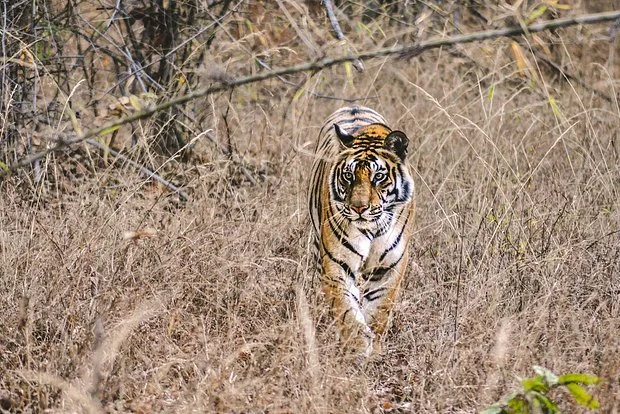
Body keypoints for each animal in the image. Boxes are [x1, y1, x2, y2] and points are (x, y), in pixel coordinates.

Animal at [308, 105, 416, 358]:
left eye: (379, 177)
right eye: (349, 176)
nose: (359, 208)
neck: (373, 227)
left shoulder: (390, 267)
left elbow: (379, 309)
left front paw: (374, 348)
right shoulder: (336, 263)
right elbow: (345, 309)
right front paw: (357, 346)